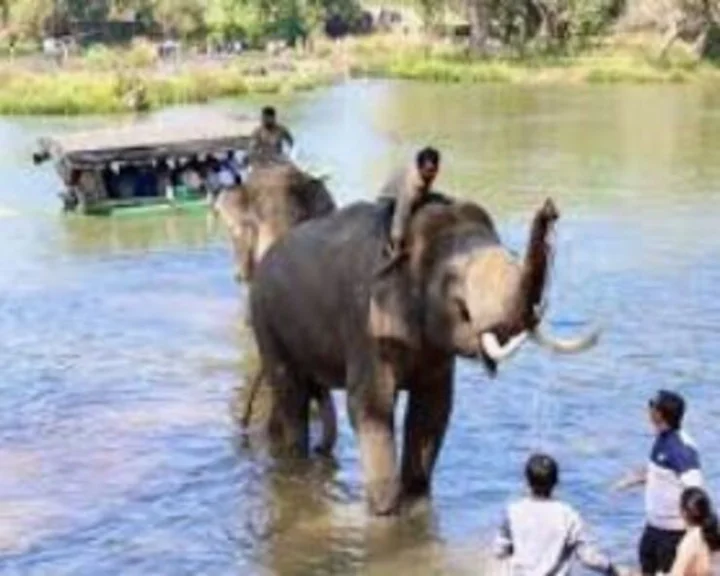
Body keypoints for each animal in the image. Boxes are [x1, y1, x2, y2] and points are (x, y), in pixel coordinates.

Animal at [249, 194, 600, 515]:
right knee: (291, 392)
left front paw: (417, 502)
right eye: (453, 277)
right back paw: (295, 464)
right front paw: (385, 513)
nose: (550, 210)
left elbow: (433, 409)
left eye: (510, 254)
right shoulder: (364, 323)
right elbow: (371, 405)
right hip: (265, 318)